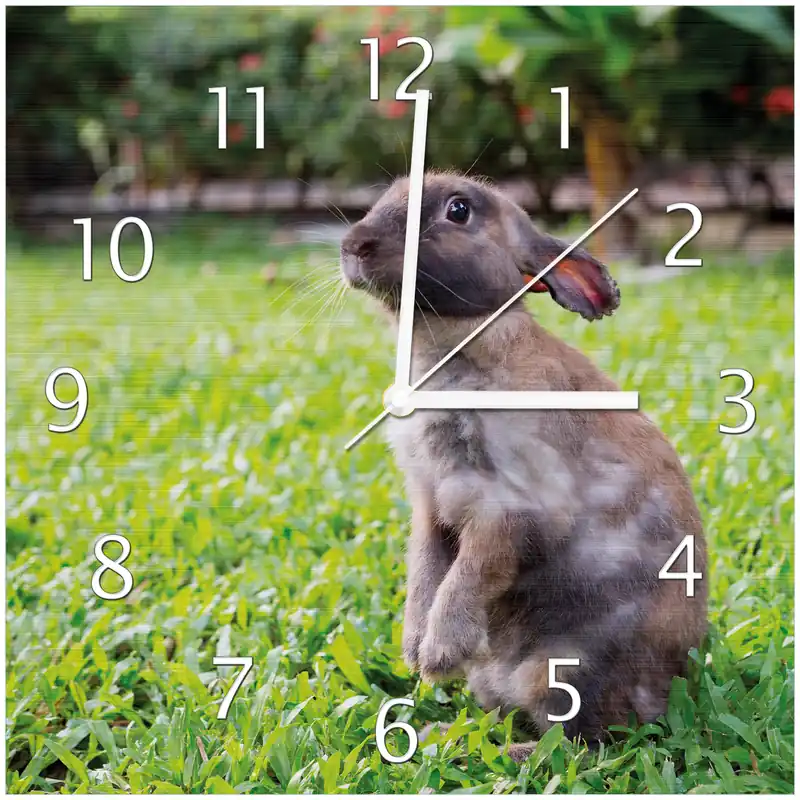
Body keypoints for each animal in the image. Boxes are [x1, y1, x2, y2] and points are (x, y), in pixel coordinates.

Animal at [339, 171, 707, 759]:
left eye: (459, 210)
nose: (353, 246)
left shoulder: (511, 507)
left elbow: (472, 570)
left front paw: (438, 654)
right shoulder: (430, 506)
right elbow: (425, 569)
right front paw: (414, 649)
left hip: (566, 671)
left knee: (578, 744)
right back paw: (444, 737)